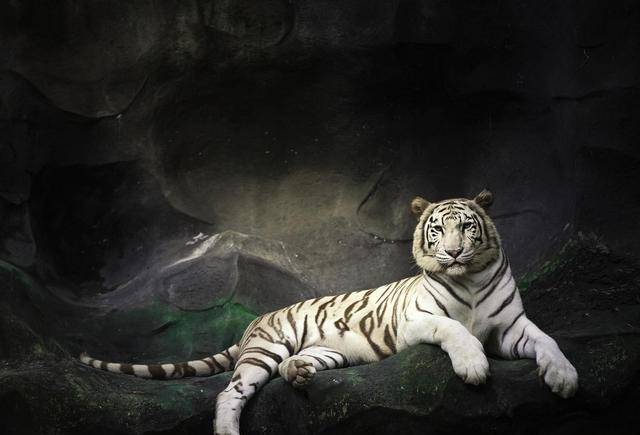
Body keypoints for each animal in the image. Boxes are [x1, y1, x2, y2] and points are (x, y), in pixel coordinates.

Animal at [80, 190, 578, 435]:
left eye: (468, 228)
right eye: (438, 229)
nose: (454, 253)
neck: (469, 279)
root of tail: (253, 321)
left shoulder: (512, 328)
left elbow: (548, 341)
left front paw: (564, 378)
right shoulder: (415, 320)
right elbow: (455, 330)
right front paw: (474, 366)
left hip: (328, 350)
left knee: (293, 366)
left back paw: (299, 373)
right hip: (265, 350)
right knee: (229, 393)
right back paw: (229, 428)